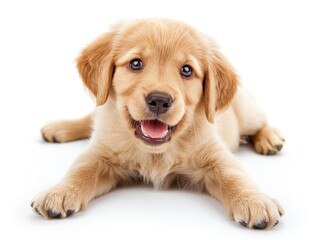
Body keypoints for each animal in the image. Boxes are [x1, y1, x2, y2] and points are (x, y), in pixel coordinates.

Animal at [31, 18, 284, 229]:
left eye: (186, 70)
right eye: (135, 63)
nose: (160, 100)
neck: (156, 153)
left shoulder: (217, 156)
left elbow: (235, 176)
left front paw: (254, 201)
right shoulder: (100, 153)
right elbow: (80, 170)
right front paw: (60, 192)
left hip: (247, 112)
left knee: (260, 121)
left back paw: (271, 139)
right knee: (89, 118)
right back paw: (59, 128)